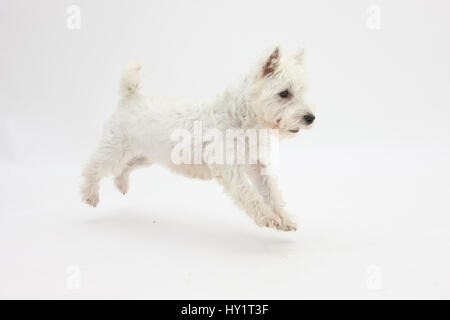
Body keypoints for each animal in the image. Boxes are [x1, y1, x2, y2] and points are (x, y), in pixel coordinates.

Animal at [81, 44, 314, 230]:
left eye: (303, 91)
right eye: (284, 93)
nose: (311, 118)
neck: (243, 118)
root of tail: (130, 98)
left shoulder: (257, 165)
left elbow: (271, 193)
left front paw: (285, 219)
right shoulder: (229, 168)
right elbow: (249, 194)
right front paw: (267, 218)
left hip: (145, 156)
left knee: (124, 168)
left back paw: (121, 184)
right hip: (114, 149)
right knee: (93, 167)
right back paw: (89, 195)